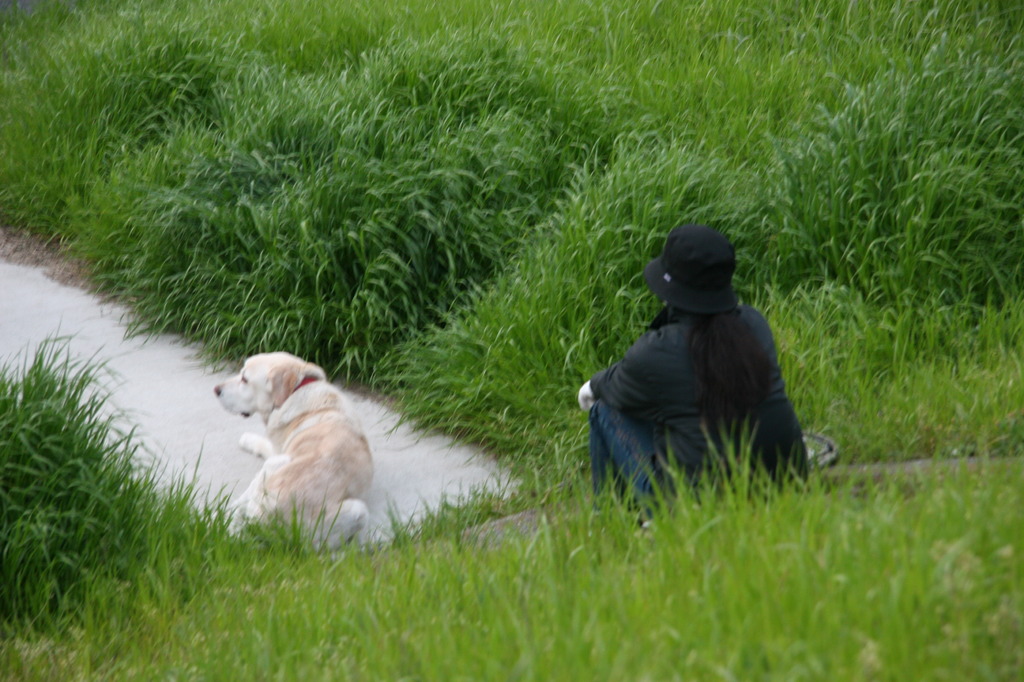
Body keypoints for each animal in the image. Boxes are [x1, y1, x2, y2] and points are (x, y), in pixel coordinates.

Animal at [214, 350, 374, 548]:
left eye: (244, 379)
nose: (216, 389)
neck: (294, 392)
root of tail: (268, 520)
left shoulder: (277, 450)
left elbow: (263, 443)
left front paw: (247, 438)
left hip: (276, 464)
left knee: (239, 504)